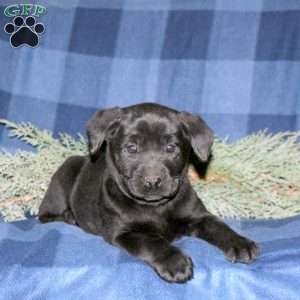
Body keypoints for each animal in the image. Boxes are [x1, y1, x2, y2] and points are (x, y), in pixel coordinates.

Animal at [38, 103, 258, 284]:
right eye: (131, 148)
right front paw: (175, 262)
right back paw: (69, 216)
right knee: (44, 215)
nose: (152, 181)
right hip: (63, 177)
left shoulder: (198, 216)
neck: (156, 207)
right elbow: (152, 242)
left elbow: (219, 226)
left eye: (171, 147)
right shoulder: (124, 233)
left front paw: (240, 243)